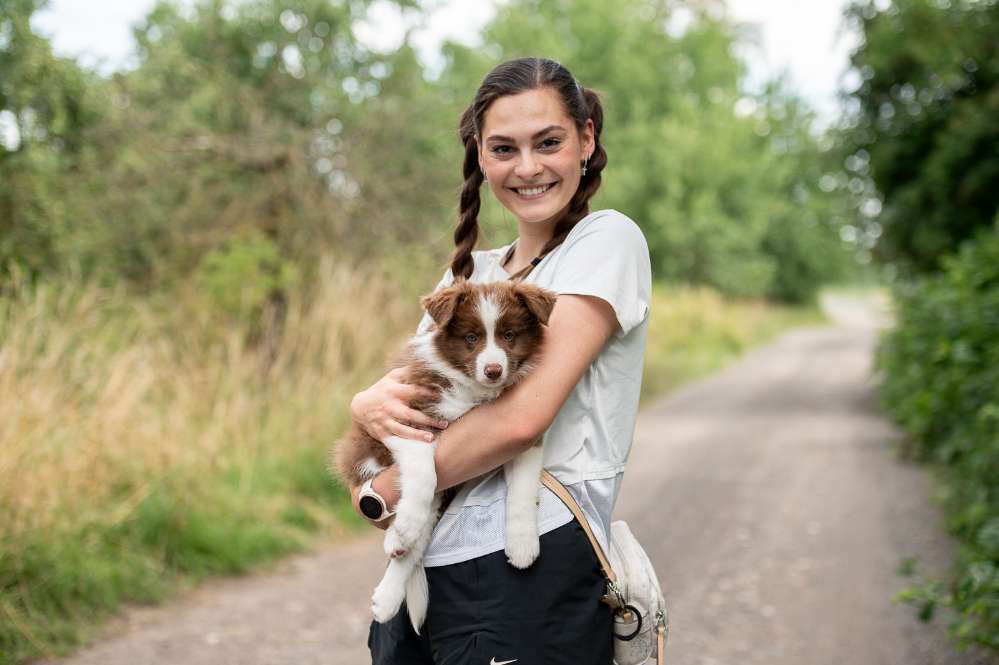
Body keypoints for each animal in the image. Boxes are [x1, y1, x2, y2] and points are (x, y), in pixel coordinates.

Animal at [334, 278, 556, 628]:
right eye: (471, 337)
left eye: (509, 335)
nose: (493, 370)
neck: (476, 392)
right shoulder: (411, 419)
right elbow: (424, 474)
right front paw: (407, 525)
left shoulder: (524, 440)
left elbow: (523, 489)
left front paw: (523, 544)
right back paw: (397, 542)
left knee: (416, 547)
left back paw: (388, 593)